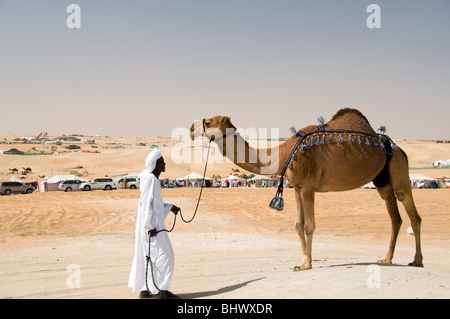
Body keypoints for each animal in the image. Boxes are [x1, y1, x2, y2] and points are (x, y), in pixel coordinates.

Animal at [190, 109, 422, 272]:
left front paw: (307, 264)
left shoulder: (309, 187)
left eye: (208, 122)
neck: (283, 154)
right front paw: (301, 262)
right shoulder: (297, 187)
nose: (191, 128)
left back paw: (417, 260)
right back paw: (387, 258)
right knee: (395, 217)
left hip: (399, 172)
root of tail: (401, 150)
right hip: (382, 181)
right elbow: (297, 224)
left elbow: (309, 225)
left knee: (413, 214)